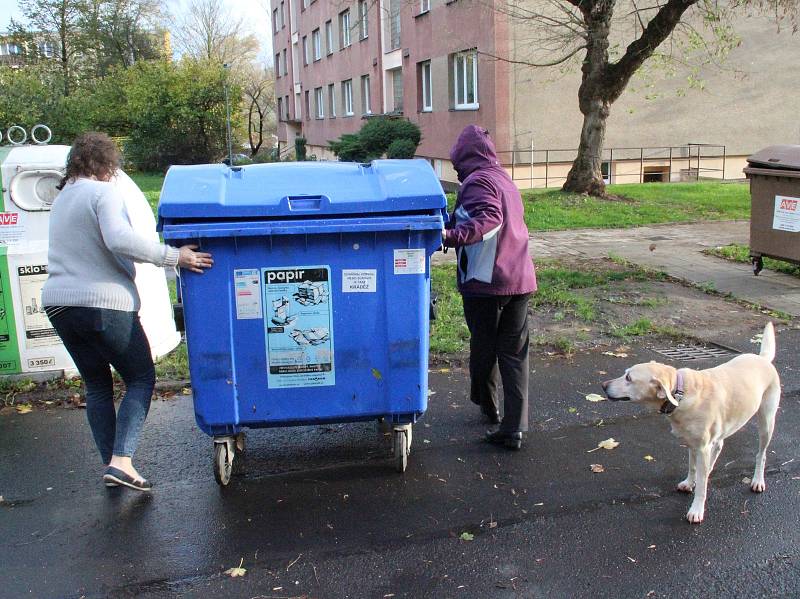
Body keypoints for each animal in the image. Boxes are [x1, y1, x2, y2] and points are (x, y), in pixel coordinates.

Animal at [604, 324, 780, 524]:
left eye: (628, 378)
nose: (603, 385)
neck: (681, 392)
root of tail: (763, 358)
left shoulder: (702, 447)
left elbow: (702, 486)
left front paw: (696, 509)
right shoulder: (692, 444)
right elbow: (693, 467)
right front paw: (690, 482)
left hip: (766, 423)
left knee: (761, 455)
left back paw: (757, 480)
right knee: (718, 447)